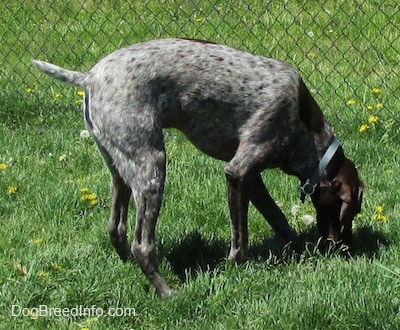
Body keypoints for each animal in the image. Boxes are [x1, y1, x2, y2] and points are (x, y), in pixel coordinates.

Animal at [32, 37, 362, 298]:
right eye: (350, 212)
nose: (347, 248)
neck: (306, 129)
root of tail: (88, 77)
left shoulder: (251, 178)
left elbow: (278, 220)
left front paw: (297, 248)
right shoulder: (238, 171)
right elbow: (239, 240)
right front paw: (235, 268)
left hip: (121, 171)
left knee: (116, 228)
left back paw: (127, 266)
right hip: (152, 167)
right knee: (143, 246)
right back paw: (167, 292)